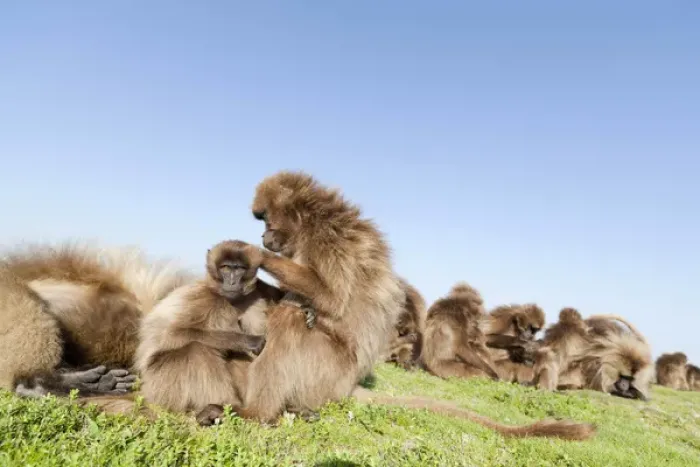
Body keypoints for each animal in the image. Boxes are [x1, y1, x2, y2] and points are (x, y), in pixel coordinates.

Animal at [195, 171, 595, 441]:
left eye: (265, 220)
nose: (264, 235)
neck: (314, 221)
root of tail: (346, 386)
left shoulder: (327, 239)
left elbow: (332, 298)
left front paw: (253, 254)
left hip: (325, 372)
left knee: (291, 320)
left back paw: (256, 414)